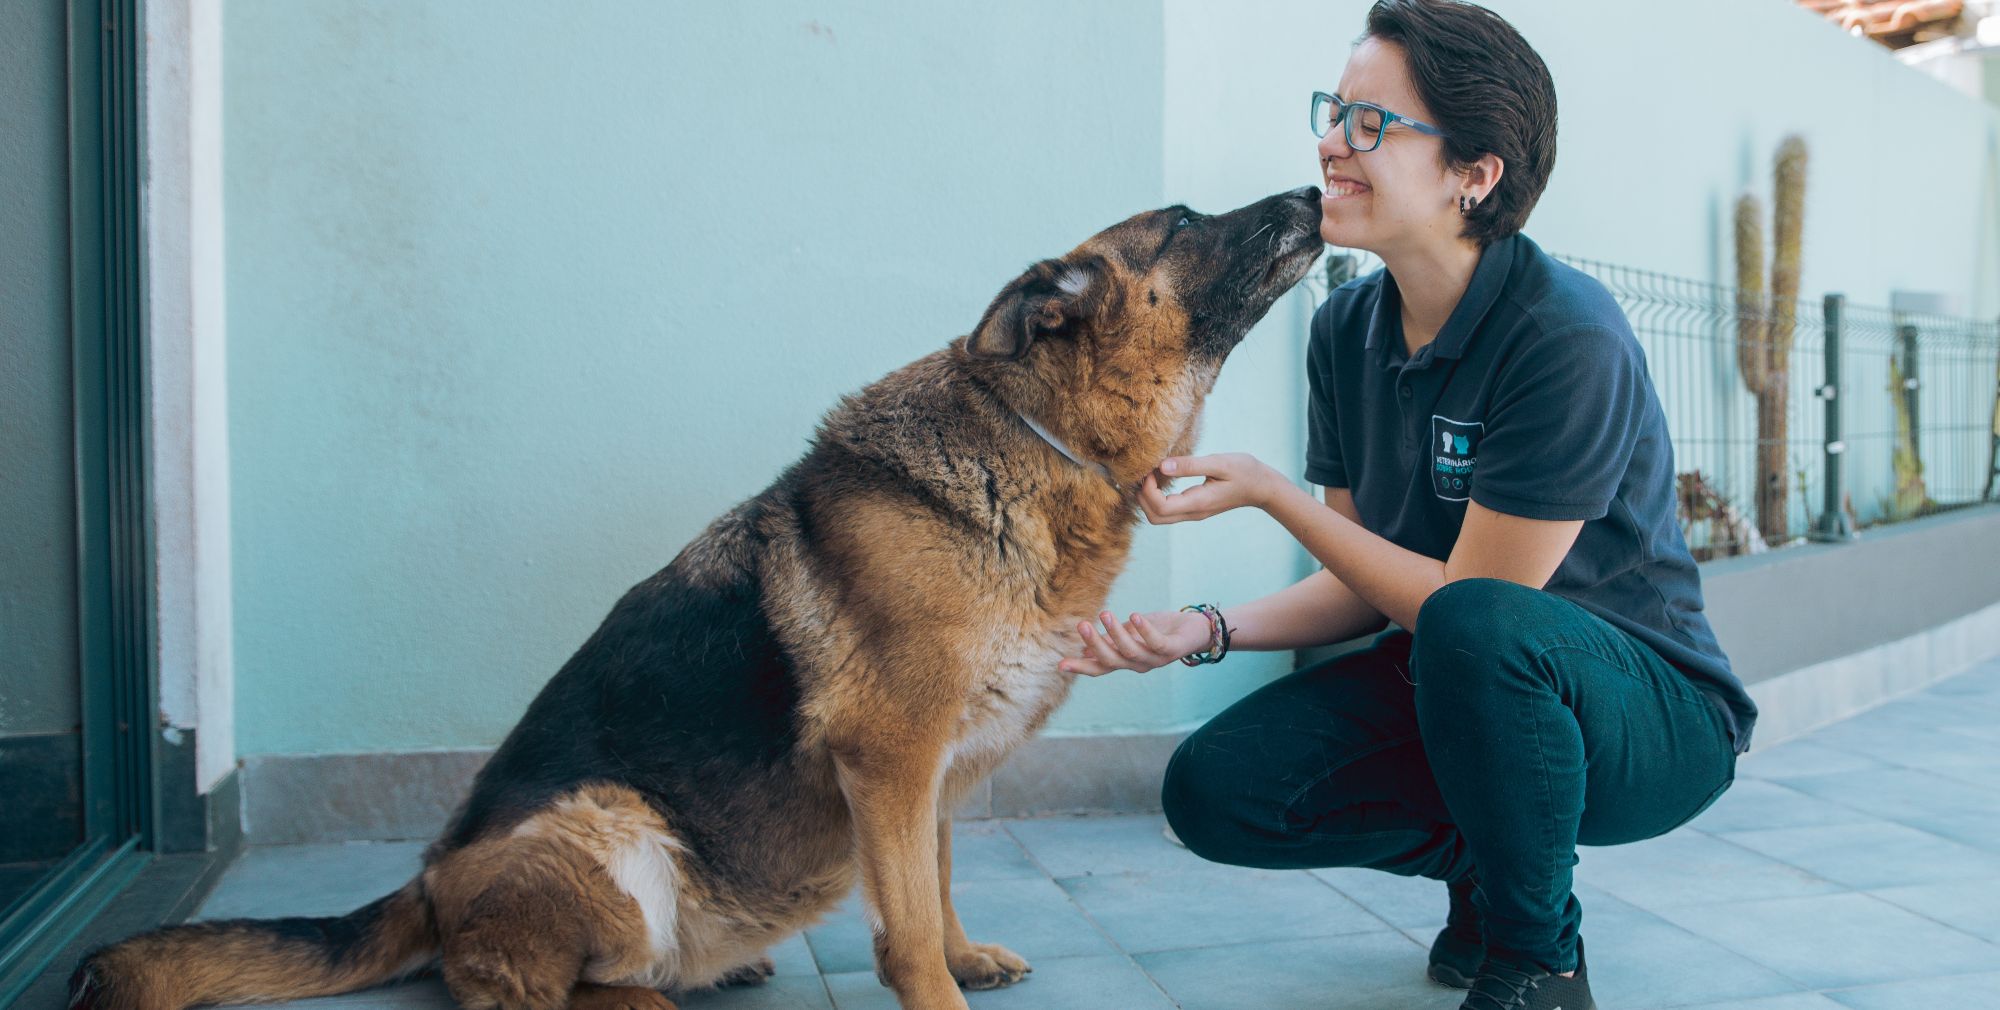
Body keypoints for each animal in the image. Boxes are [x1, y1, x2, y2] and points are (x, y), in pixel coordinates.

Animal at [70, 187, 1328, 1008]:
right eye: (1180, 223)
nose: (1313, 187)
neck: (1037, 444)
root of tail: (426, 881)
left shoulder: (932, 772)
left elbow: (935, 883)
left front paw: (967, 951)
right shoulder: (890, 755)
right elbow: (907, 927)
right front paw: (940, 986)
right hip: (611, 829)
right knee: (514, 987)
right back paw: (643, 998)